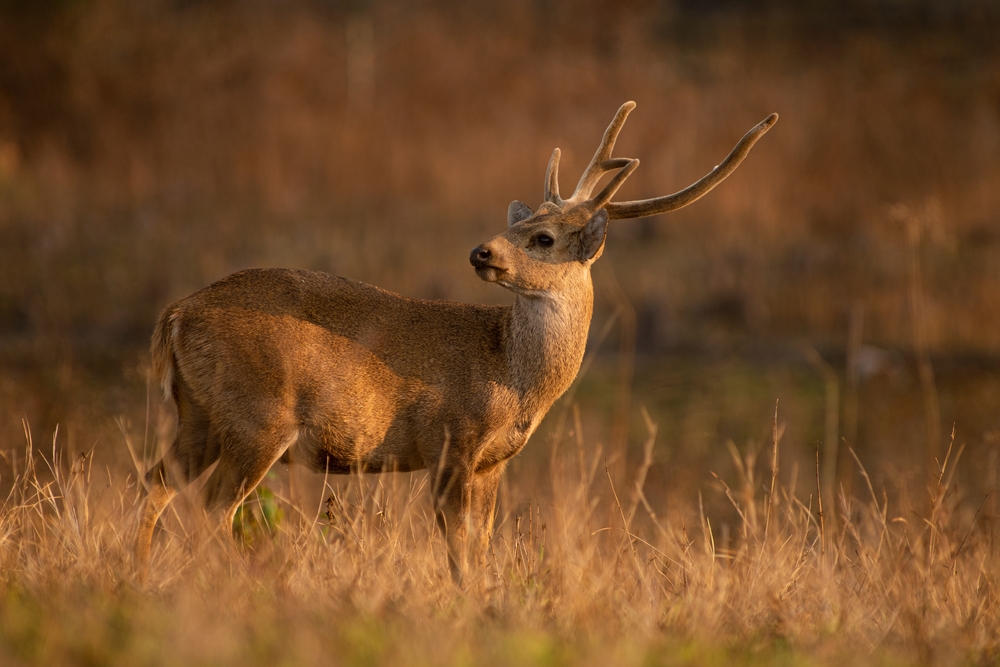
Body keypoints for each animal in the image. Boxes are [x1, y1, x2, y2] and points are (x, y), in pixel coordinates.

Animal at [134, 101, 777, 581]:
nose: (481, 252)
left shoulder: (491, 461)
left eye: (542, 237)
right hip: (259, 415)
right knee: (212, 508)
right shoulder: (453, 439)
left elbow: (480, 548)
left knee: (156, 485)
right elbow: (459, 552)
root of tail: (176, 313)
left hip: (199, 415)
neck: (513, 376)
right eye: (521, 224)